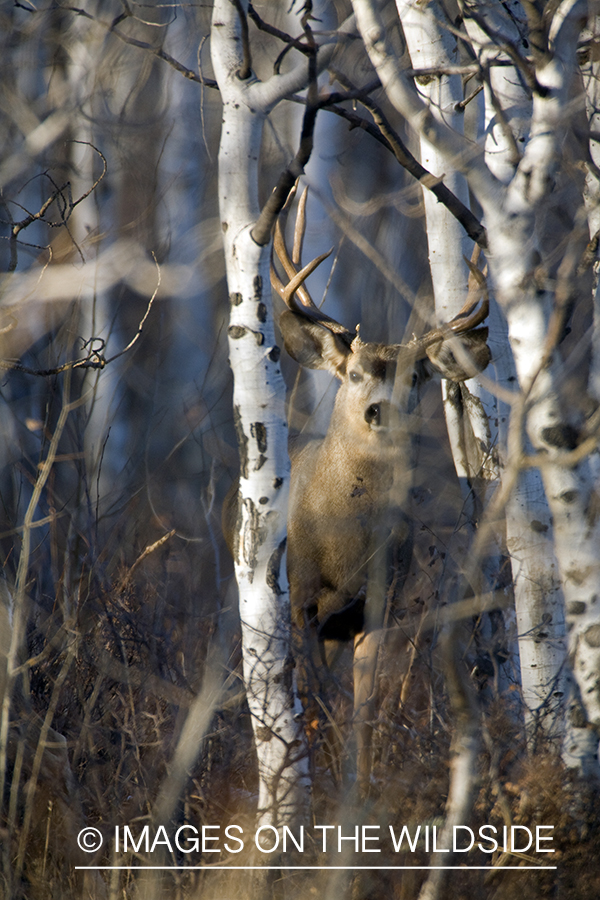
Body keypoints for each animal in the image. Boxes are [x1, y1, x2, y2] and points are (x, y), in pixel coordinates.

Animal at [225, 186, 491, 793]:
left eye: (416, 376)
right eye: (351, 373)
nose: (379, 410)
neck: (343, 542)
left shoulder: (380, 605)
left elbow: (364, 709)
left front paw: (359, 787)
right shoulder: (301, 597)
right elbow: (317, 703)